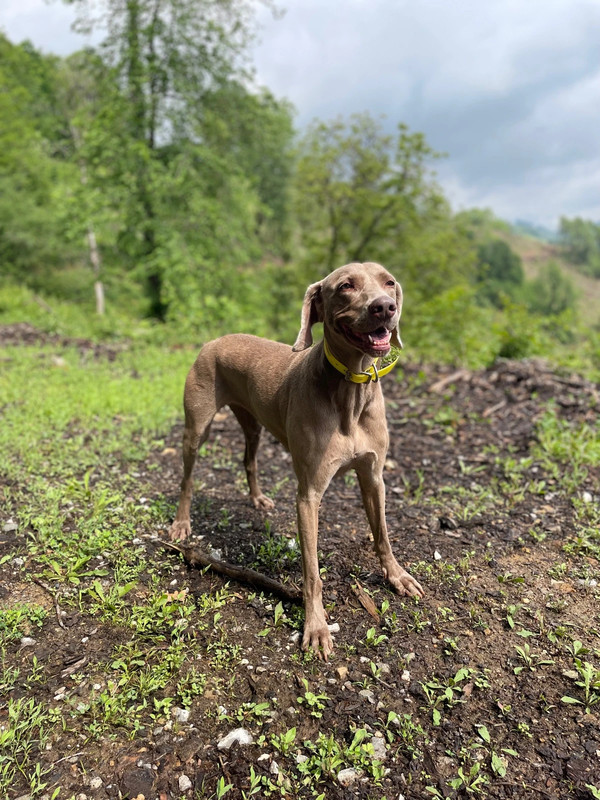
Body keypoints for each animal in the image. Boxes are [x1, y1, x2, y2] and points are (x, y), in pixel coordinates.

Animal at [168, 260, 422, 656]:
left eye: (389, 282)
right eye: (346, 286)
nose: (384, 307)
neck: (349, 390)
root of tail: (214, 340)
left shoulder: (373, 476)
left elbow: (383, 535)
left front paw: (397, 577)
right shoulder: (308, 495)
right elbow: (312, 572)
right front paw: (316, 627)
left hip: (252, 423)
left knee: (249, 460)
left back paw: (258, 499)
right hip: (196, 429)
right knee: (187, 478)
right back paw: (181, 522)